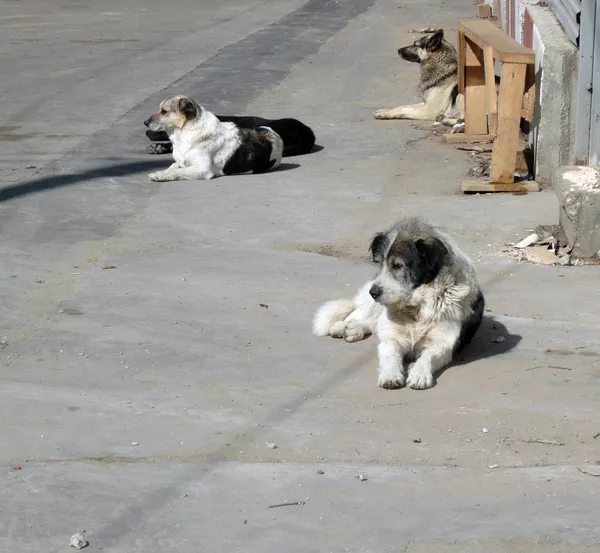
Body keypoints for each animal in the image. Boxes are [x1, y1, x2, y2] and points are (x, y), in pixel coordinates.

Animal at [145, 95, 286, 181]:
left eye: (164, 112)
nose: (145, 122)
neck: (187, 132)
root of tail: (276, 136)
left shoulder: (203, 169)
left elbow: (177, 171)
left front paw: (160, 175)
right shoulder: (181, 162)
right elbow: (173, 166)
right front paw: (163, 172)